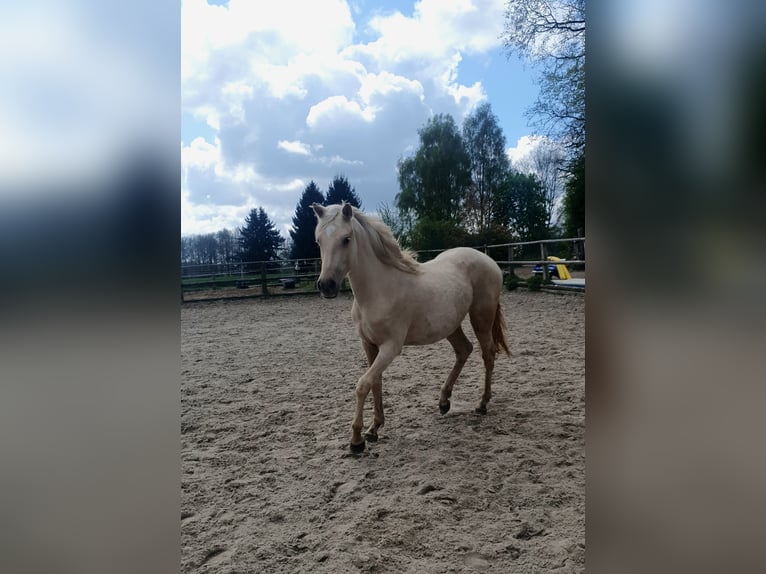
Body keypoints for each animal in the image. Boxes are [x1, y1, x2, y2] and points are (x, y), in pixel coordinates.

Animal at [312, 202, 510, 452]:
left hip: (481, 318)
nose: (326, 285)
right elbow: (375, 382)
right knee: (464, 350)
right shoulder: (369, 345)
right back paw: (444, 402)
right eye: (319, 240)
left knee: (488, 354)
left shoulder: (390, 348)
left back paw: (482, 404)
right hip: (450, 325)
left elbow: (363, 384)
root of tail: (489, 261)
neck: (379, 290)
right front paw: (374, 429)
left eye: (346, 239)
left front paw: (356, 440)